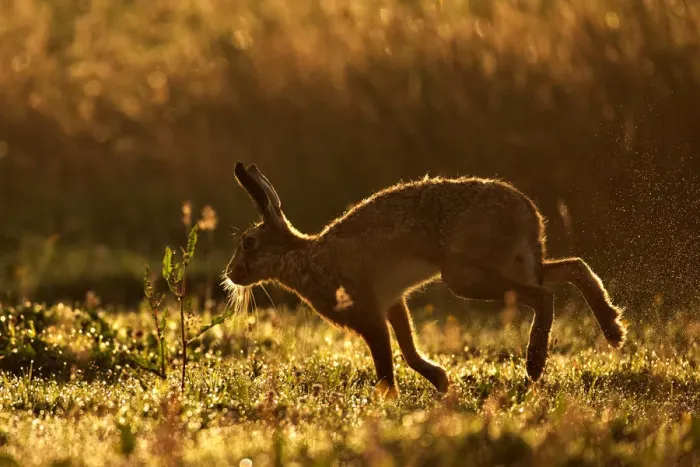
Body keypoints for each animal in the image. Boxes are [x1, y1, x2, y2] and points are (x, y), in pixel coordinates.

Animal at [224, 161, 627, 398]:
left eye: (248, 243)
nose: (230, 274)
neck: (303, 257)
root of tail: (527, 212)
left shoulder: (367, 313)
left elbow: (386, 360)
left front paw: (388, 402)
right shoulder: (391, 302)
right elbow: (409, 349)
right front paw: (442, 381)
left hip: (464, 274)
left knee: (543, 296)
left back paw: (535, 362)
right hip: (513, 263)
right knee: (572, 268)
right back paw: (613, 328)